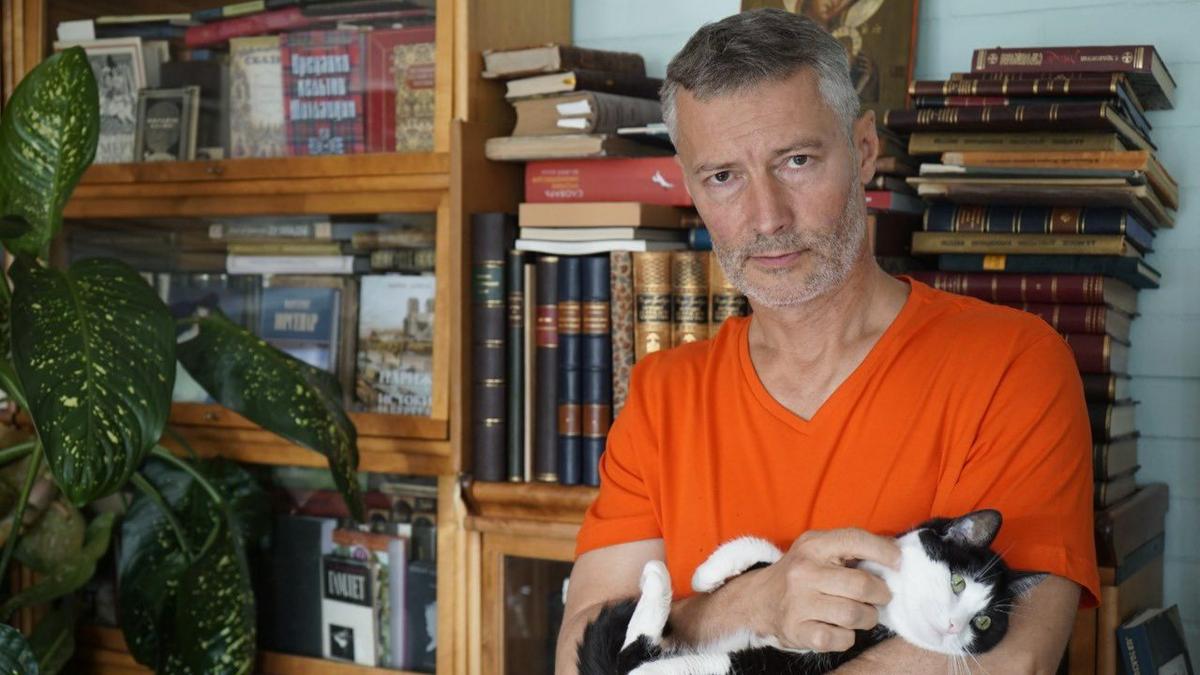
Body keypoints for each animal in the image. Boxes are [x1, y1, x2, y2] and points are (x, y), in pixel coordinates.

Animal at [577, 509, 1045, 675]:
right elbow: (775, 556)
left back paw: (655, 579)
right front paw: (709, 573)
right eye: (957, 581)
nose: (953, 625)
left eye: (982, 622)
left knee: (636, 651)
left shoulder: (801, 661)